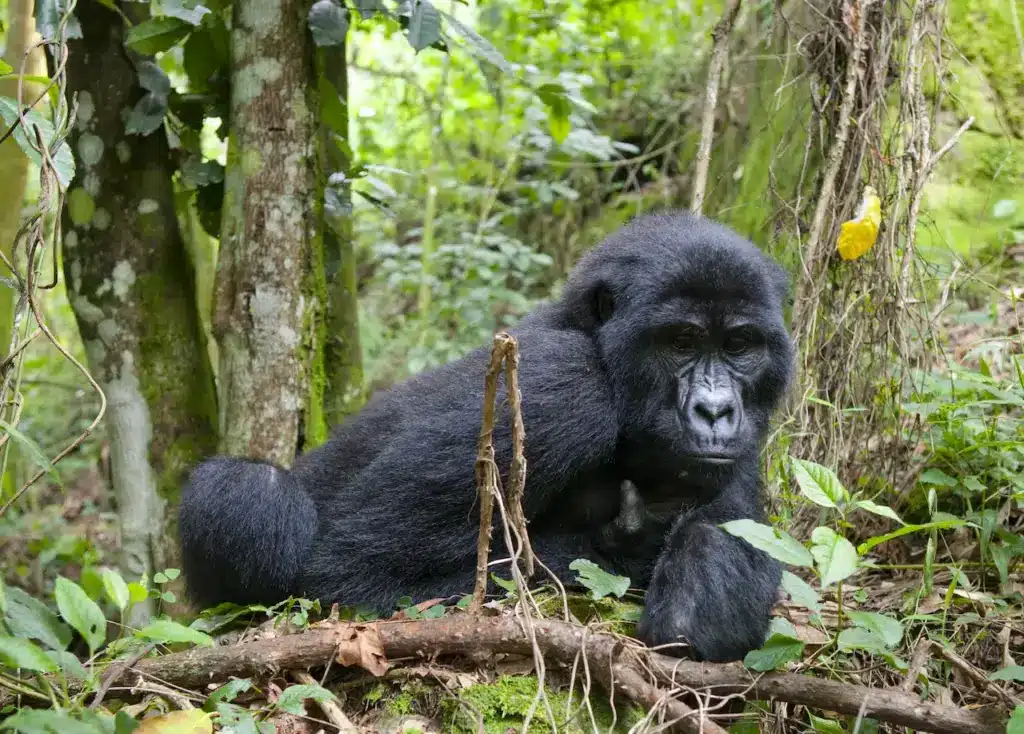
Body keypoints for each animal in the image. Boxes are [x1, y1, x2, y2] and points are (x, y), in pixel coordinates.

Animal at [180, 208, 794, 663]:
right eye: (682, 342)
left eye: (739, 346)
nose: (715, 411)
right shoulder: (564, 388)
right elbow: (351, 574)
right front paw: (625, 546)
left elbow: (711, 590)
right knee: (249, 490)